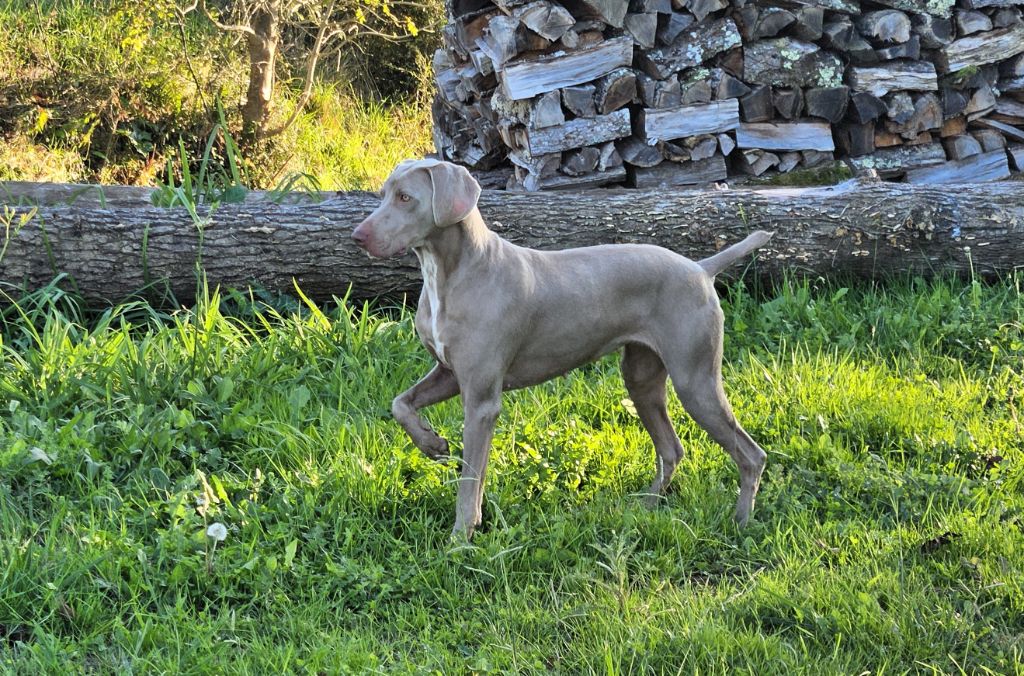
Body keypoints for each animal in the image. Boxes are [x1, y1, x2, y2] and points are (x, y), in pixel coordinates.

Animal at [352, 158, 770, 536]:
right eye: (383, 194)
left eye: (406, 198)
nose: (357, 236)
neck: (449, 273)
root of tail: (700, 268)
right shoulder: (450, 374)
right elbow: (401, 404)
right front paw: (432, 443)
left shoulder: (482, 400)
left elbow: (470, 481)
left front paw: (460, 539)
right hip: (642, 378)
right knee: (671, 449)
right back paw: (647, 508)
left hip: (695, 380)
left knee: (751, 454)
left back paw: (741, 522)